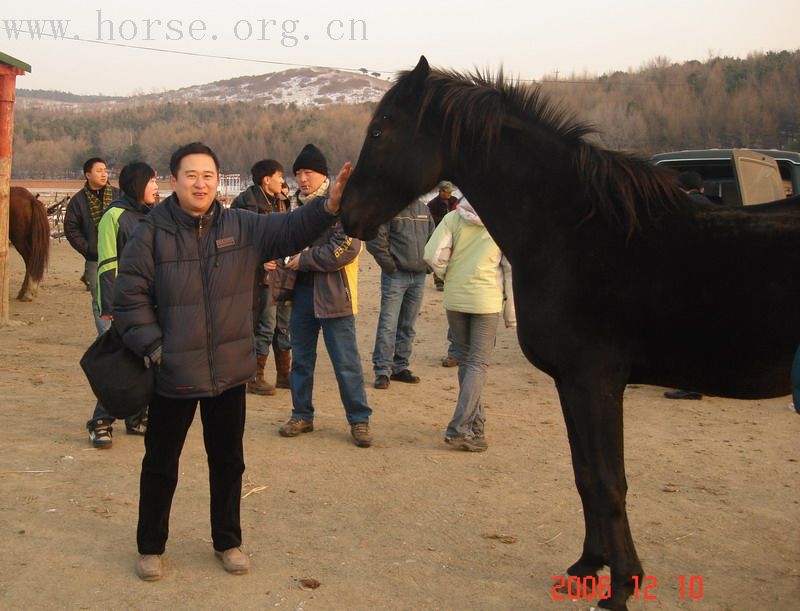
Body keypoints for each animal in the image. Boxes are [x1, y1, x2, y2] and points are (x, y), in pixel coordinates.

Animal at [340, 55, 800, 608]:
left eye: (380, 131)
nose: (345, 214)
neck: (574, 233)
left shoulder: (595, 382)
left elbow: (609, 481)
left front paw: (621, 586)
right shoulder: (570, 384)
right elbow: (584, 477)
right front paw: (588, 567)